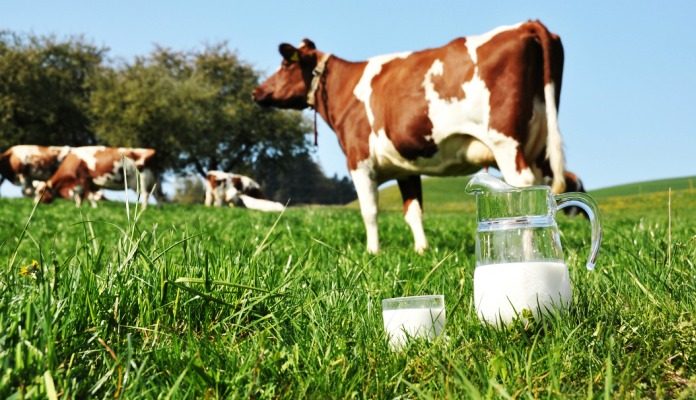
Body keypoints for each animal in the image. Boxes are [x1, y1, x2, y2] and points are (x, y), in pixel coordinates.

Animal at [34, 146, 162, 209]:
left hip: (142, 180)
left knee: (146, 195)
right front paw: (78, 207)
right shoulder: (83, 183)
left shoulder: (85, 179)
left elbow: (89, 196)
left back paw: (143, 210)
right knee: (158, 196)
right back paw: (159, 209)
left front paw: (94, 207)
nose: (35, 203)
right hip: (154, 181)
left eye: (41, 192)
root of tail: (152, 151)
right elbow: (80, 196)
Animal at [254, 19, 572, 253]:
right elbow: (413, 211)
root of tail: (527, 24)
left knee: (523, 187)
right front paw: (422, 250)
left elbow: (369, 210)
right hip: (539, 144)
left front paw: (372, 252)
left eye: (285, 64)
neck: (344, 90)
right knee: (541, 184)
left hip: (505, 141)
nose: (257, 92)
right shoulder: (405, 168)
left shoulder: (359, 160)